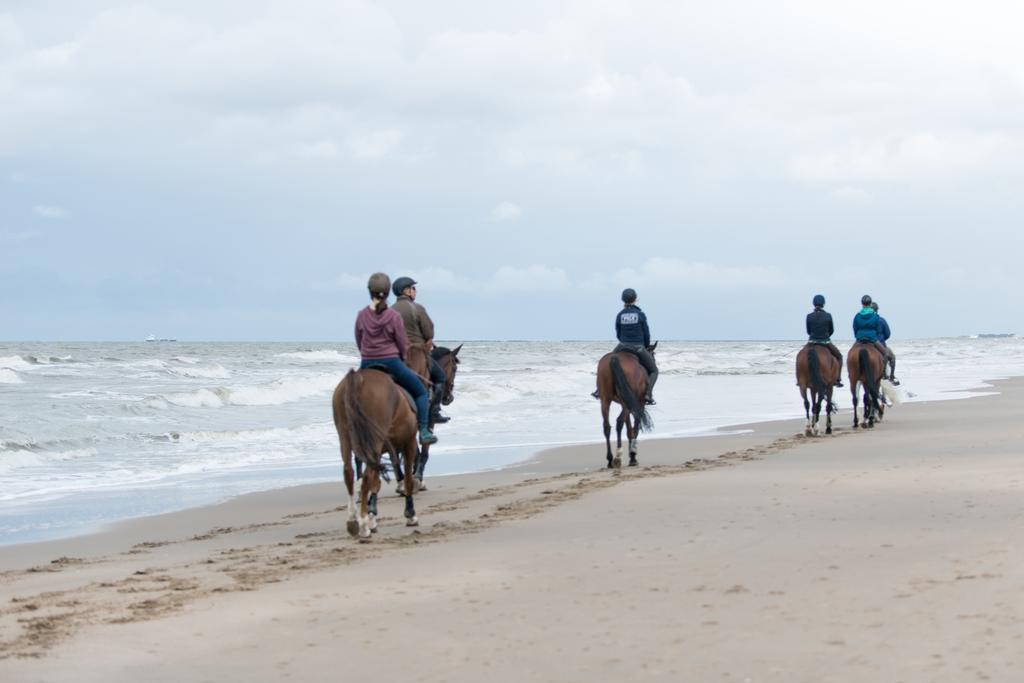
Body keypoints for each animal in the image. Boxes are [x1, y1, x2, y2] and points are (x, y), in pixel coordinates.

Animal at [331, 366, 419, 540]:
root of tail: (357, 378)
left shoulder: (377, 453)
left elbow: (376, 483)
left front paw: (372, 518)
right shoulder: (410, 443)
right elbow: (407, 480)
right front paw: (410, 514)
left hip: (345, 436)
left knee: (349, 472)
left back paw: (353, 520)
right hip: (375, 440)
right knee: (365, 477)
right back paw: (363, 526)